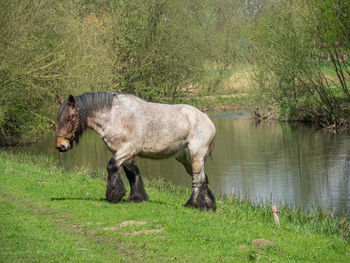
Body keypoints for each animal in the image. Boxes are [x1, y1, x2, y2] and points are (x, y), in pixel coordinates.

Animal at [55, 92, 216, 211]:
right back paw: (208, 206)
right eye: (58, 118)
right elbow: (132, 173)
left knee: (197, 178)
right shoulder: (124, 152)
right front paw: (136, 198)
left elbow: (112, 166)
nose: (60, 146)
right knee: (203, 177)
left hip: (195, 156)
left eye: (69, 118)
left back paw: (192, 204)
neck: (115, 116)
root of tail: (209, 122)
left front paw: (114, 195)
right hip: (185, 159)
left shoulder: (129, 149)